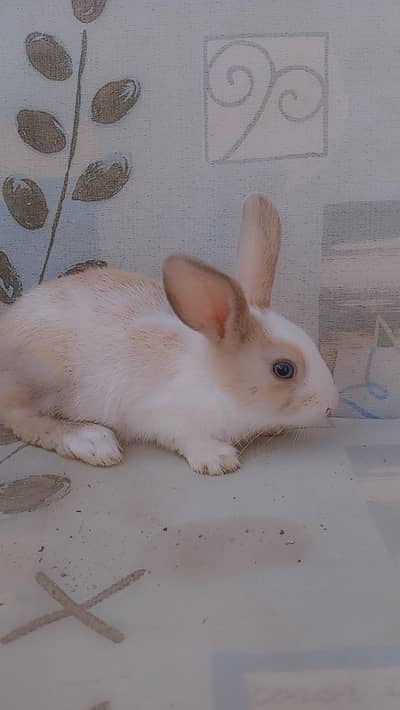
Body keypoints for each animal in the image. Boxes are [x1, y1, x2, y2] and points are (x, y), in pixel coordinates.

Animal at [0, 194, 338, 475]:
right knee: (19, 417)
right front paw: (217, 458)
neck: (218, 382)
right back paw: (92, 440)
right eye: (283, 369)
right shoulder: (163, 416)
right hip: (43, 380)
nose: (330, 406)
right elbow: (186, 436)